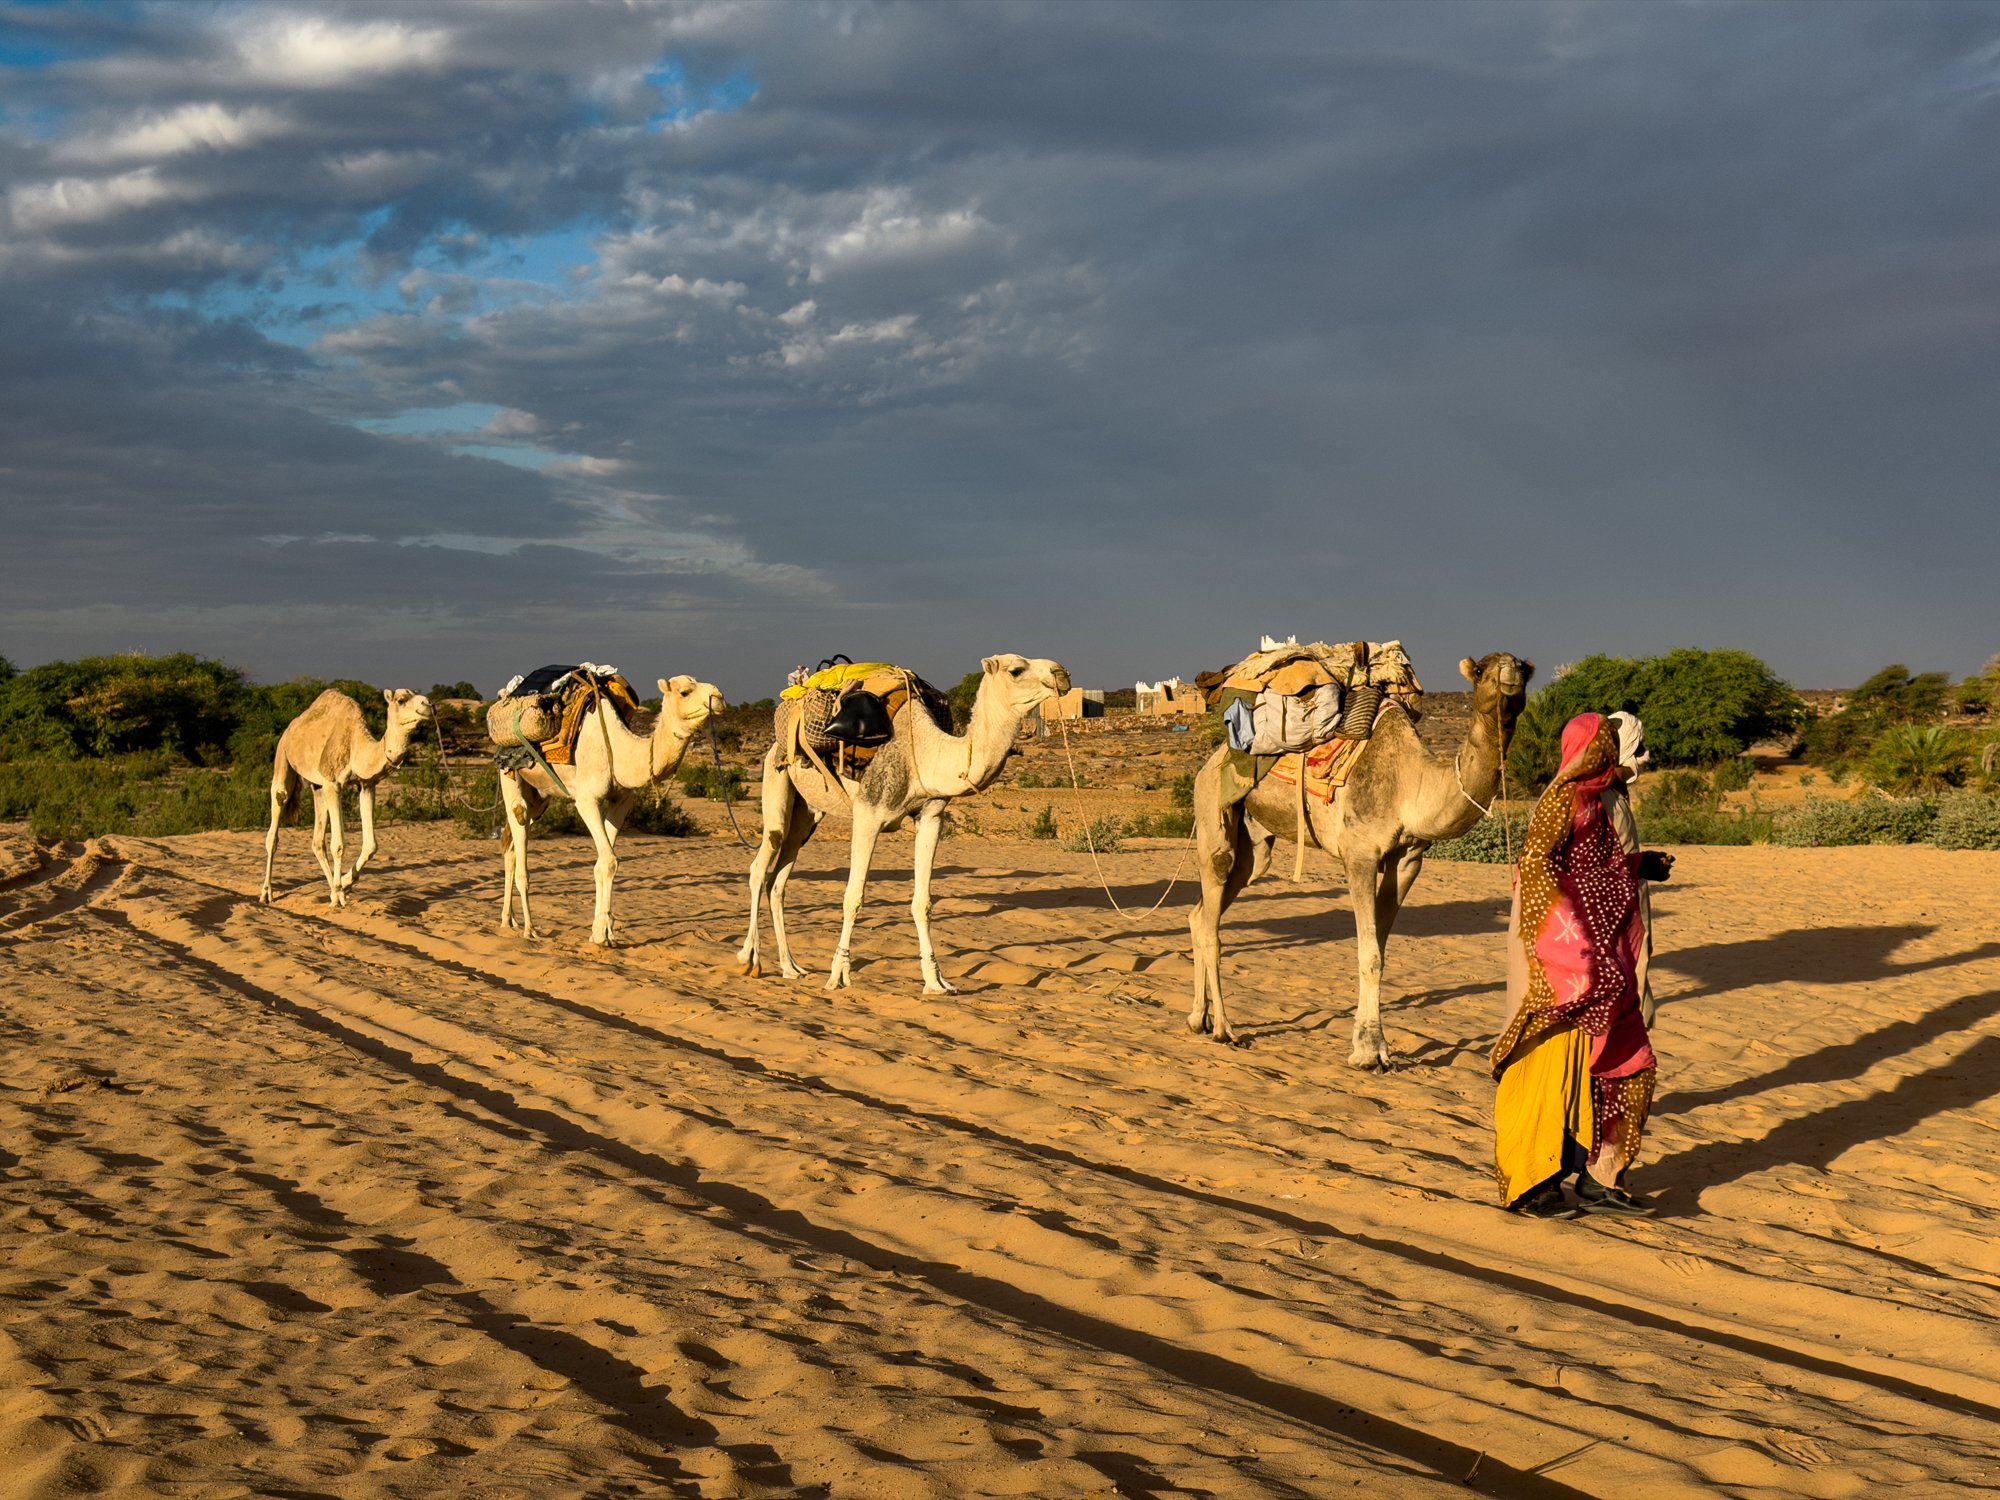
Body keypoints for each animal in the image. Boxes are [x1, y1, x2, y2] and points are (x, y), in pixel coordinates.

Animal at [261, 688, 436, 908]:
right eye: (401, 700)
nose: (428, 705)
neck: (356, 747)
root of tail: (291, 727)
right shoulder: (333, 783)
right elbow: (338, 843)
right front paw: (339, 891)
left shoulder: (367, 785)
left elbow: (371, 845)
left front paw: (344, 884)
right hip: (283, 757)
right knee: (276, 820)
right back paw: (267, 893)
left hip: (317, 786)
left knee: (317, 841)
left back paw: (334, 891)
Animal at [498, 674, 724, 946]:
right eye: (685, 692)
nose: (719, 698)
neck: (618, 752)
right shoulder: (587, 800)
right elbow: (608, 860)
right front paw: (602, 934)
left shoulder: (621, 800)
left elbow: (604, 863)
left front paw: (602, 932)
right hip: (509, 776)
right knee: (519, 833)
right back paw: (529, 929)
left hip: (540, 797)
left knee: (511, 847)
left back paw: (508, 920)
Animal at [739, 654, 1070, 993]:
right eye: (1016, 670)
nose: (1062, 674)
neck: (922, 753)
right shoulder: (868, 814)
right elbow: (853, 897)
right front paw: (838, 975)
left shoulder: (931, 817)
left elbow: (922, 902)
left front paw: (936, 981)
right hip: (776, 779)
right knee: (760, 865)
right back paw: (751, 960)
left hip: (808, 813)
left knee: (779, 880)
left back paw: (790, 967)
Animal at [1188, 652, 1534, 1065]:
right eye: (1481, 670)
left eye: (1525, 668)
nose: (1511, 672)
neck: (1411, 784)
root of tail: (1208, 763)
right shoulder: (1360, 854)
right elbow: (1369, 955)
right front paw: (1369, 1053)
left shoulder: (1408, 859)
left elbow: (1380, 949)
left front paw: (1373, 1046)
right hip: (1212, 805)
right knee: (1213, 911)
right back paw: (1225, 1030)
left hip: (1255, 845)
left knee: (1205, 909)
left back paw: (1198, 1019)